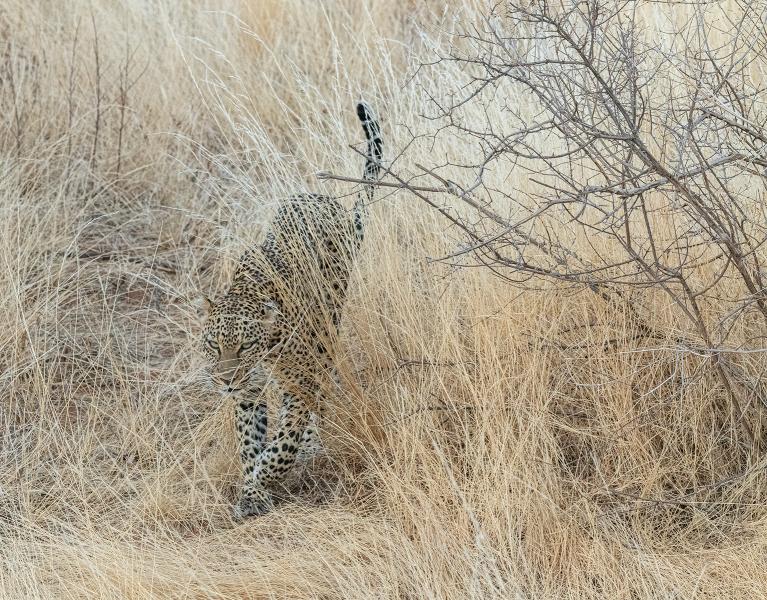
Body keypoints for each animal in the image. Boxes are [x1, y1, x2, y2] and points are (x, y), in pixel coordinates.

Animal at [200, 101, 382, 517]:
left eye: (243, 347)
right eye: (214, 346)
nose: (225, 382)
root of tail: (323, 198)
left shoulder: (297, 382)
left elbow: (281, 446)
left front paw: (263, 480)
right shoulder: (249, 393)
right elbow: (249, 442)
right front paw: (253, 490)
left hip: (326, 335)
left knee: (316, 395)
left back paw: (311, 443)